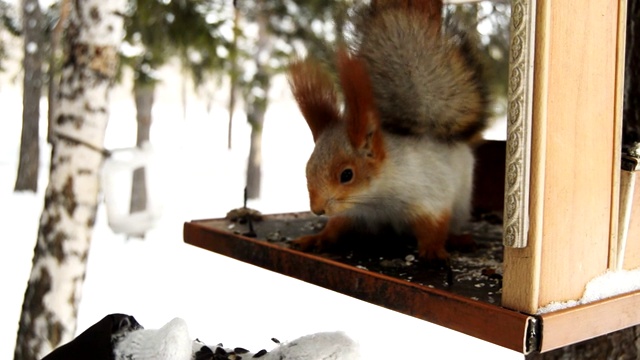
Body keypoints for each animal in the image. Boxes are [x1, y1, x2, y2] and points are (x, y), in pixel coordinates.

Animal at [288, 0, 488, 262]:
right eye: (307, 169)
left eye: (347, 175)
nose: (317, 209)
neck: (376, 198)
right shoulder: (353, 211)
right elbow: (335, 227)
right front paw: (317, 238)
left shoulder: (431, 195)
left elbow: (434, 226)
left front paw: (433, 250)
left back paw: (458, 239)